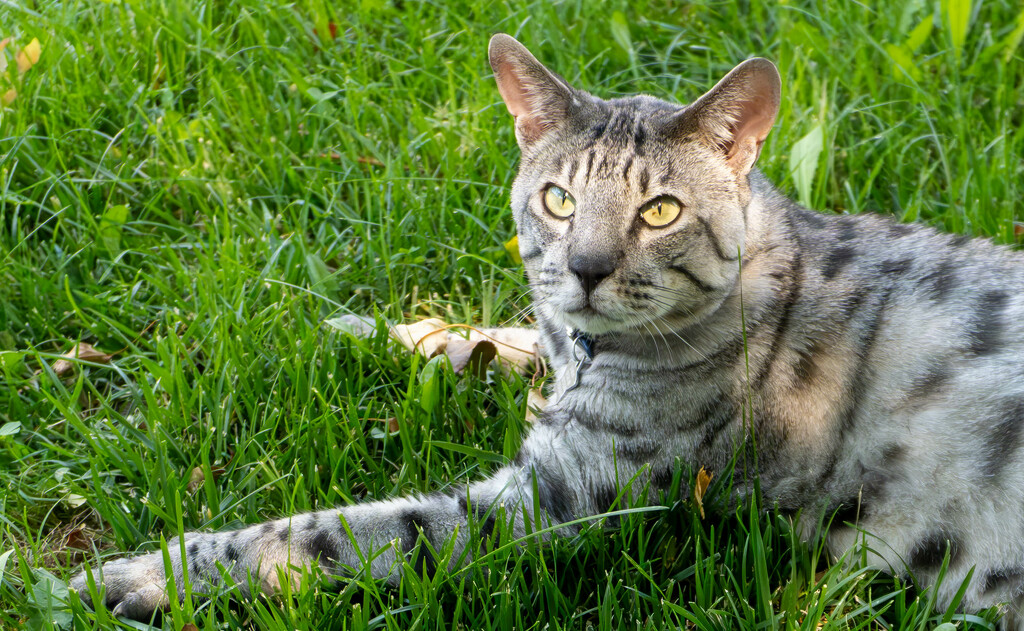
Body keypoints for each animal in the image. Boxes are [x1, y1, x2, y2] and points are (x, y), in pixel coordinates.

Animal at [70, 33, 1024, 626]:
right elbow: (493, 334)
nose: (590, 267)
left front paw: (146, 573)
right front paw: (365, 327)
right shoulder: (556, 350)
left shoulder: (549, 501)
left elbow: (319, 535)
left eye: (660, 209)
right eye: (560, 198)